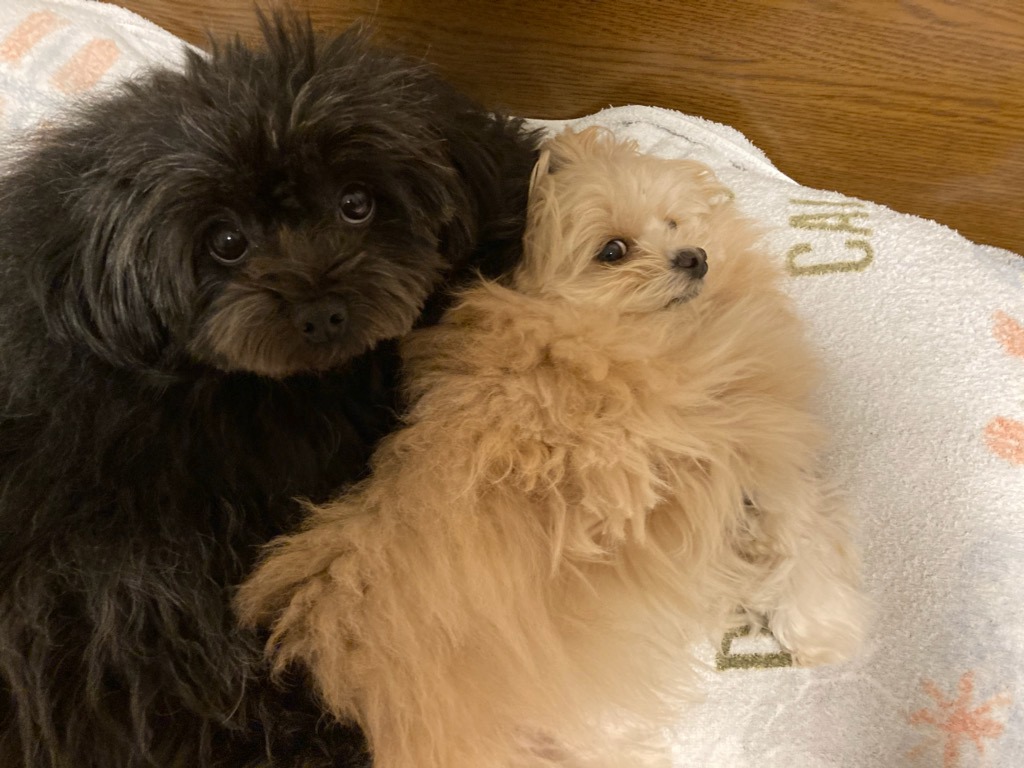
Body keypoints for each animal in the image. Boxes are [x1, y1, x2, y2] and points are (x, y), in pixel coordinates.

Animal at [237, 127, 869, 768]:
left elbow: (795, 522)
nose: (694, 256)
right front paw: (824, 619)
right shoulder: (691, 477)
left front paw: (820, 622)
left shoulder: (749, 449)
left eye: (672, 223)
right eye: (612, 251)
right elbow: (785, 527)